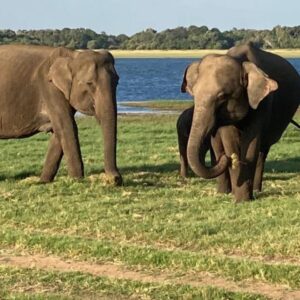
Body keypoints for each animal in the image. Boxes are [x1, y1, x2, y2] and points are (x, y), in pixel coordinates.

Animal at [0, 45, 122, 185]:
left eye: (117, 81)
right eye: (89, 83)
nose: (114, 179)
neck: (73, 55)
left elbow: (58, 131)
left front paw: (43, 182)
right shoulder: (49, 87)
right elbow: (67, 126)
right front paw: (77, 180)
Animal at [180, 42, 300, 202]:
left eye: (222, 97)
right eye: (194, 94)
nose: (228, 159)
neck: (240, 61)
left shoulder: (263, 102)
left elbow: (252, 144)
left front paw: (243, 199)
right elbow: (230, 140)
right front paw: (239, 198)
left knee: (262, 152)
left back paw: (255, 190)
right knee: (217, 147)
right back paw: (223, 192)